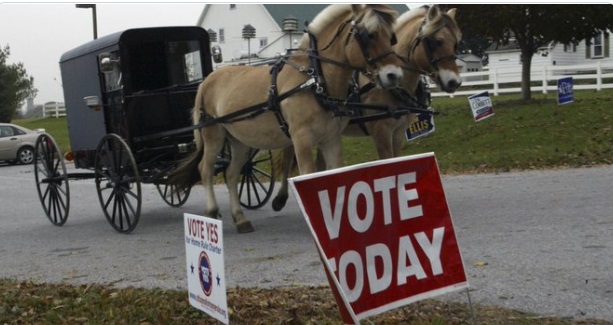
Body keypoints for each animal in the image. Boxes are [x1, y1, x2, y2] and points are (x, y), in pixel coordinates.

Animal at [170, 5, 404, 233]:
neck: (315, 79)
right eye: (367, 35)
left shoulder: (331, 139)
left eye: (392, 37)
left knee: (231, 174)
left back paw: (240, 219)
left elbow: (333, 175)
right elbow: (309, 176)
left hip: (239, 141)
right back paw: (211, 210)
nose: (394, 75)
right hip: (214, 135)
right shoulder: (301, 138)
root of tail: (207, 80)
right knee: (206, 169)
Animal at [270, 5, 462, 210]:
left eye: (456, 44)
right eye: (437, 41)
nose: (454, 82)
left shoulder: (398, 132)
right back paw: (281, 197)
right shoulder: (381, 130)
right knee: (288, 158)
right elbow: (387, 161)